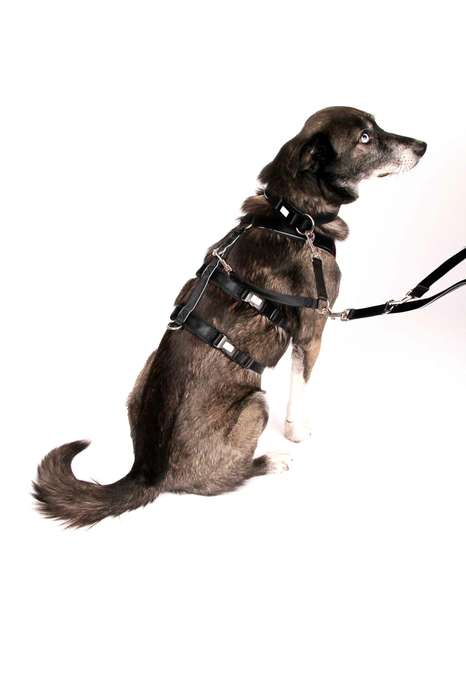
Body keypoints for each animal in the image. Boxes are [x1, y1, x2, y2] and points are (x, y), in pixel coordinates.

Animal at [33, 106, 426, 527]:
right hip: (256, 404)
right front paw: (296, 432)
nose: (422, 146)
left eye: (377, 126)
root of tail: (147, 472)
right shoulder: (313, 330)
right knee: (229, 478)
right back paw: (269, 461)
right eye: (365, 137)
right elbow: (300, 388)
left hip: (141, 379)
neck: (293, 216)